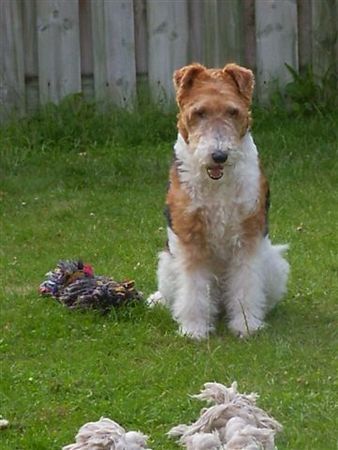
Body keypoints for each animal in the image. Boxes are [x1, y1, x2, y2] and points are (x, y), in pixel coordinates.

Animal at [149, 62, 290, 338]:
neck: (217, 184)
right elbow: (192, 289)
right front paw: (194, 329)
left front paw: (246, 324)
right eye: (199, 112)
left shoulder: (247, 236)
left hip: (272, 262)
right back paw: (157, 299)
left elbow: (246, 284)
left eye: (233, 111)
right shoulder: (190, 236)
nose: (219, 156)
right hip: (167, 263)